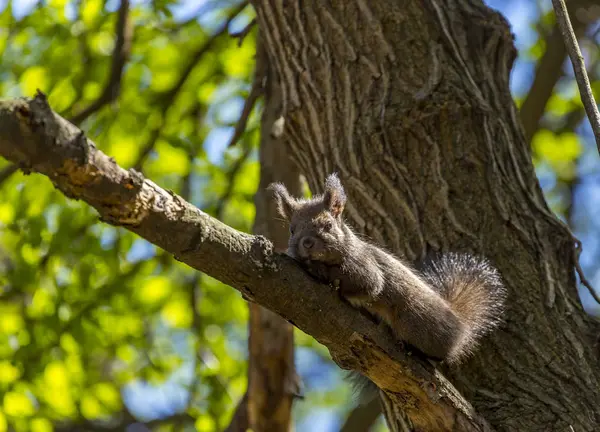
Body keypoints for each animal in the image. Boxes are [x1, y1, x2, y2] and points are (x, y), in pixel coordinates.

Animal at [270, 174, 508, 370]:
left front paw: (320, 270)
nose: (307, 243)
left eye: (328, 225)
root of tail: (460, 326)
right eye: (292, 230)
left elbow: (365, 284)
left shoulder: (366, 268)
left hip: (415, 320)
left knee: (440, 352)